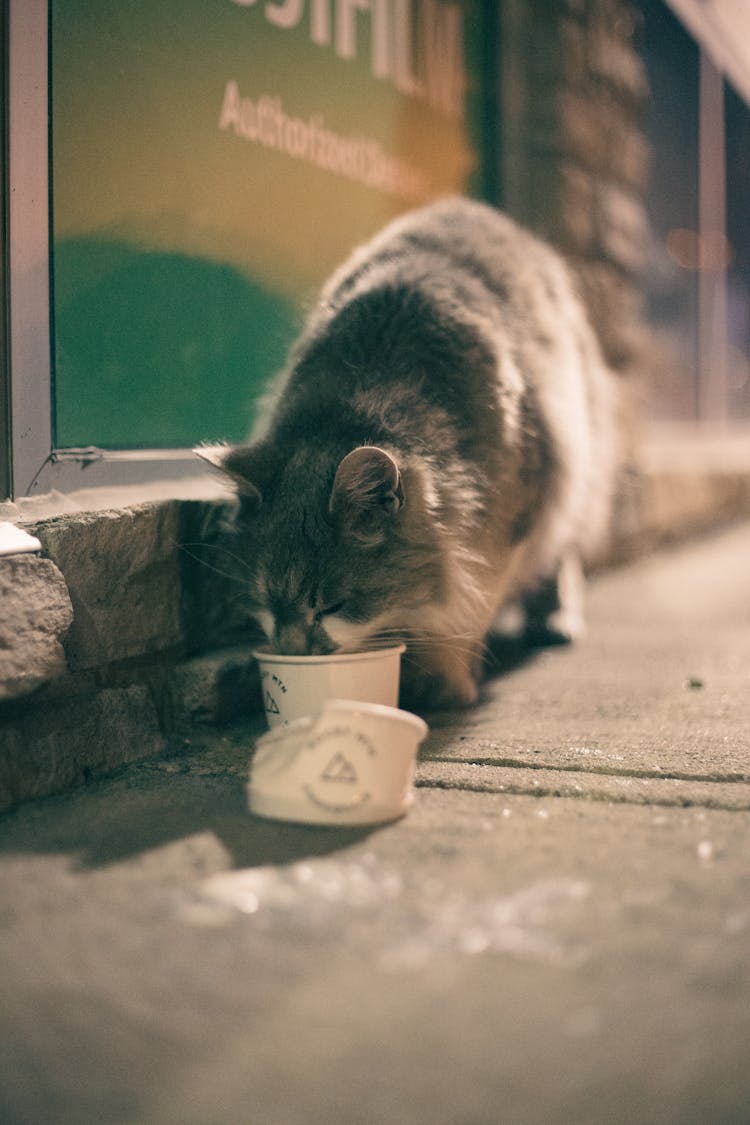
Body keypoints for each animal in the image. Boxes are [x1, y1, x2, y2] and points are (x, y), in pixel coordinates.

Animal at [197, 193, 616, 702]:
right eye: (265, 602)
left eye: (332, 606)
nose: (294, 652)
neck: (360, 399)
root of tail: (471, 207)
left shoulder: (511, 522)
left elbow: (467, 608)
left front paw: (443, 685)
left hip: (582, 469)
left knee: (561, 555)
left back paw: (555, 621)